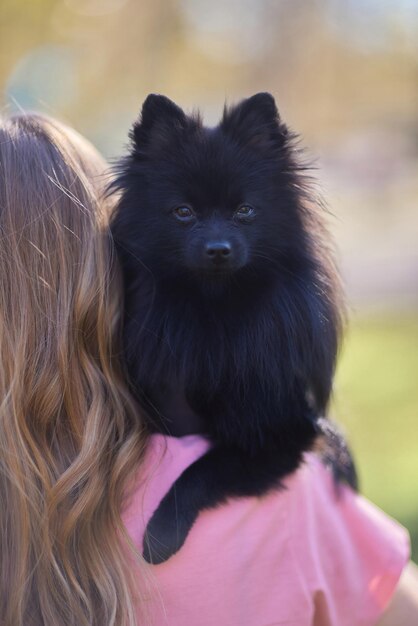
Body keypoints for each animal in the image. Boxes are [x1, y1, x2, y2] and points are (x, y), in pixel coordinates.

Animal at [111, 91, 356, 560]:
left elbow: (202, 470)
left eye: (245, 211)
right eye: (183, 212)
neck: (215, 309)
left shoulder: (278, 431)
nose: (218, 248)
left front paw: (161, 534)